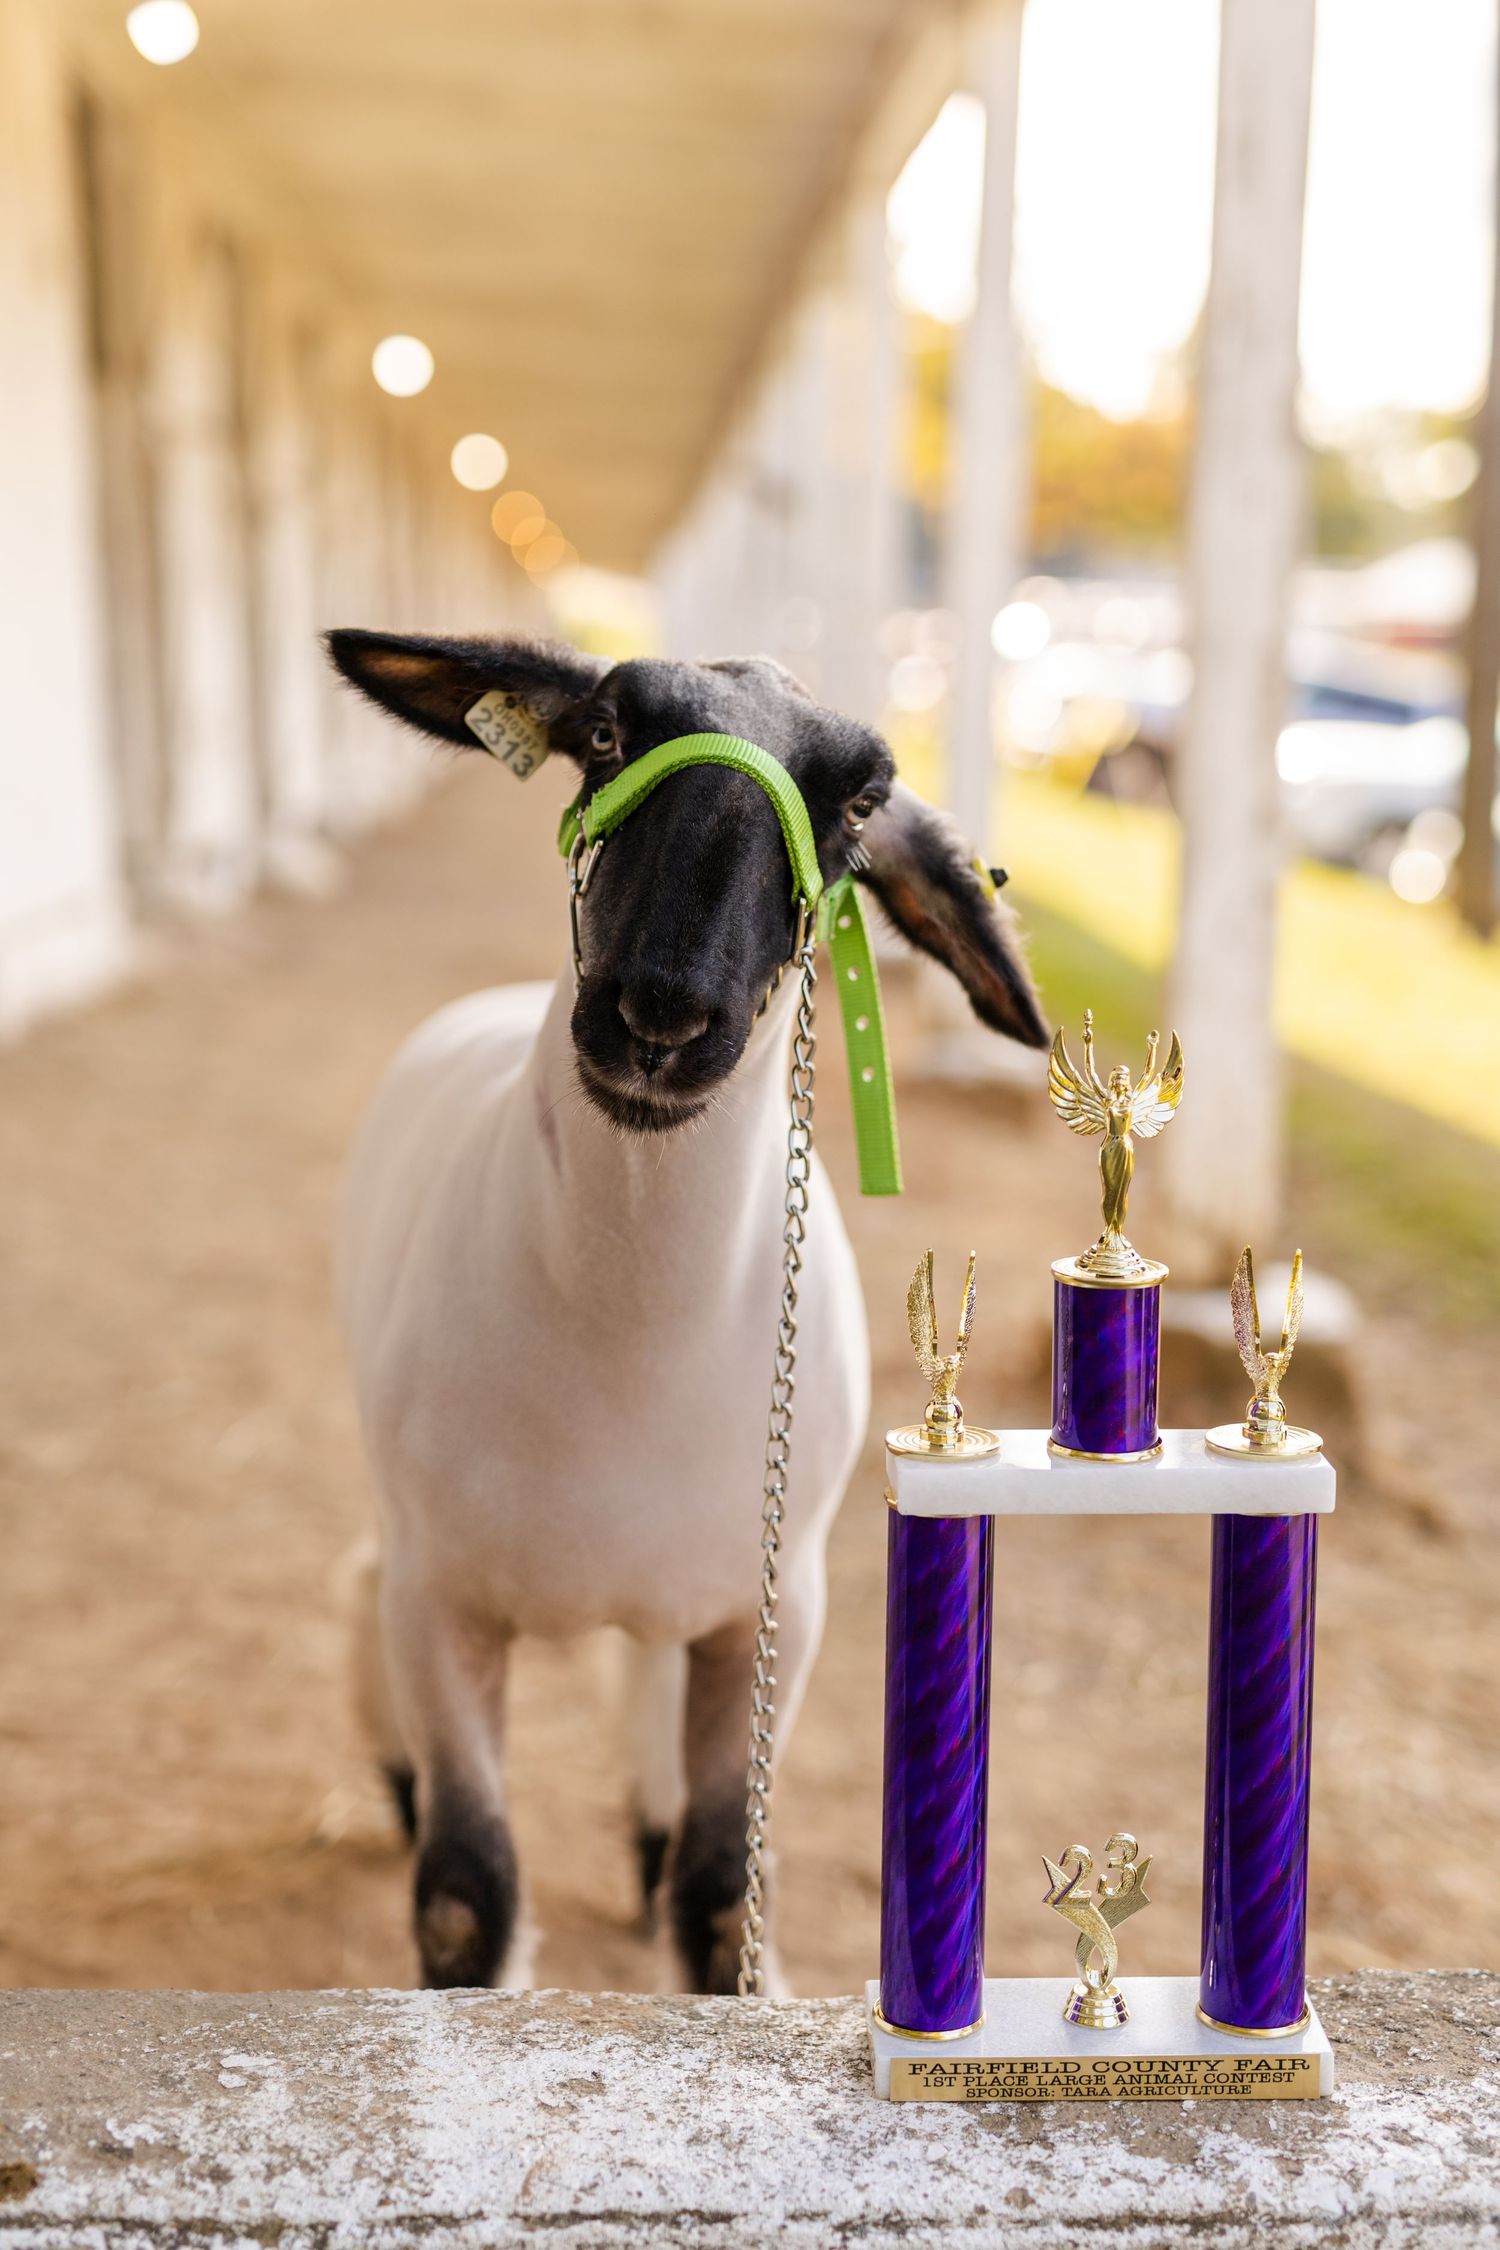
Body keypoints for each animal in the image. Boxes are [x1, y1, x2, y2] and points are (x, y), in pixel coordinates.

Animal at [325, 631, 1048, 1993]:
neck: (629, 1343)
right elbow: (463, 1899)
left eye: (862, 804)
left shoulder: (778, 1609)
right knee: (362, 1583)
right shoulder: (441, 1599)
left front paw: (687, 1883)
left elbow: (723, 1899)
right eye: (606, 732)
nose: (660, 1013)